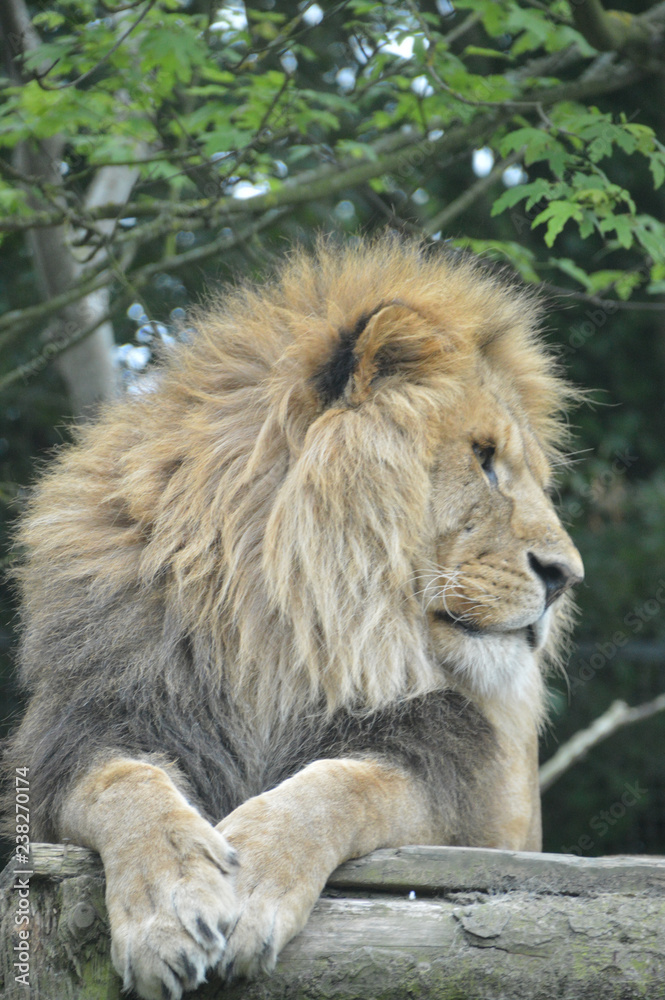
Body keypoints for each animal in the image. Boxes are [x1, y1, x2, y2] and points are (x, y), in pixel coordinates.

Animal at [4, 235, 583, 1000]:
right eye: (483, 459)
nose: (566, 577)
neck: (280, 632)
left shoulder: (450, 777)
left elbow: (340, 786)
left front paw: (249, 879)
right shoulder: (87, 725)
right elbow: (127, 786)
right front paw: (171, 907)